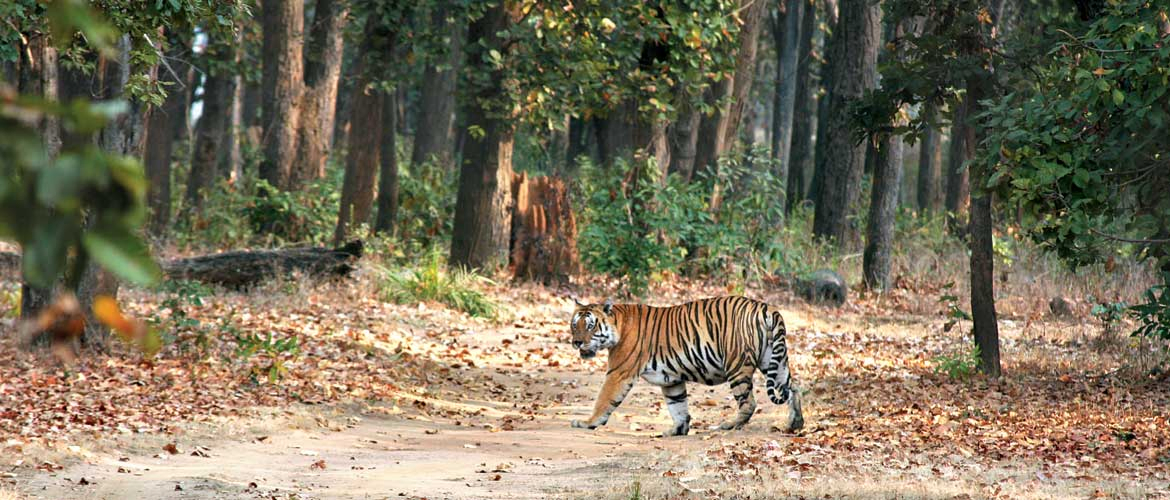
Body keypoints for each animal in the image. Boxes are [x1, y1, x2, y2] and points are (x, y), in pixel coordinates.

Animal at [568, 296, 803, 437]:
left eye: (590, 326)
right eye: (574, 325)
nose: (576, 342)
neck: (618, 324)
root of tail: (767, 307)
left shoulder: (618, 373)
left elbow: (603, 400)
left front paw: (588, 423)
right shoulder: (671, 380)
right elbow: (678, 406)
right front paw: (677, 430)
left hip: (737, 365)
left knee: (749, 402)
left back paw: (729, 426)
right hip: (773, 360)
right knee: (793, 387)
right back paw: (795, 423)